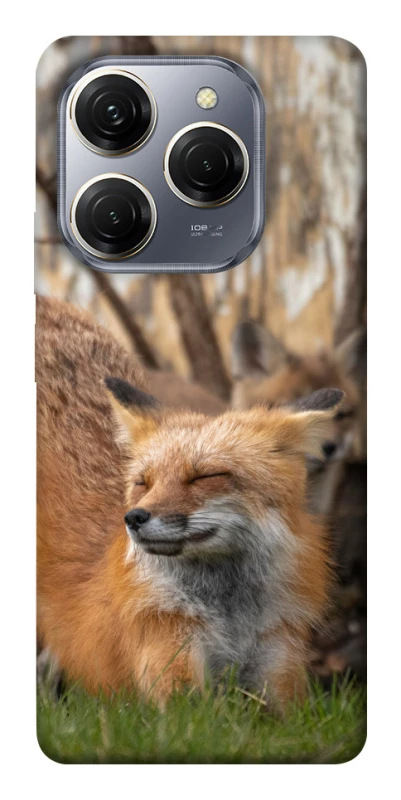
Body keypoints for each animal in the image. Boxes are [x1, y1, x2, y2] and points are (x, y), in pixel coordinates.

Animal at [37, 297, 344, 708]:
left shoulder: (280, 667)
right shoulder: (171, 667)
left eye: (204, 476)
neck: (230, 617)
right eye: (143, 482)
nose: (133, 518)